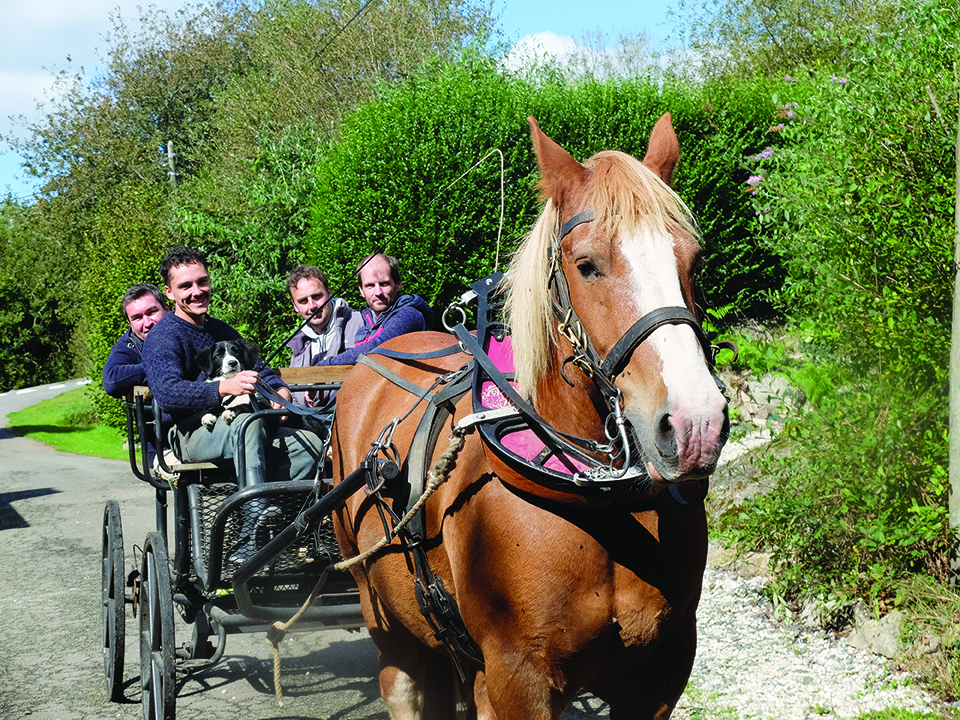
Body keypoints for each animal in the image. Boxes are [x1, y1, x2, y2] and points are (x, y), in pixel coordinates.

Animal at [330, 114, 728, 720]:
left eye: (694, 260)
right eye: (586, 265)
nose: (695, 424)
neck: (603, 503)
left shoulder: (663, 670)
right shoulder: (519, 679)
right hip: (386, 625)